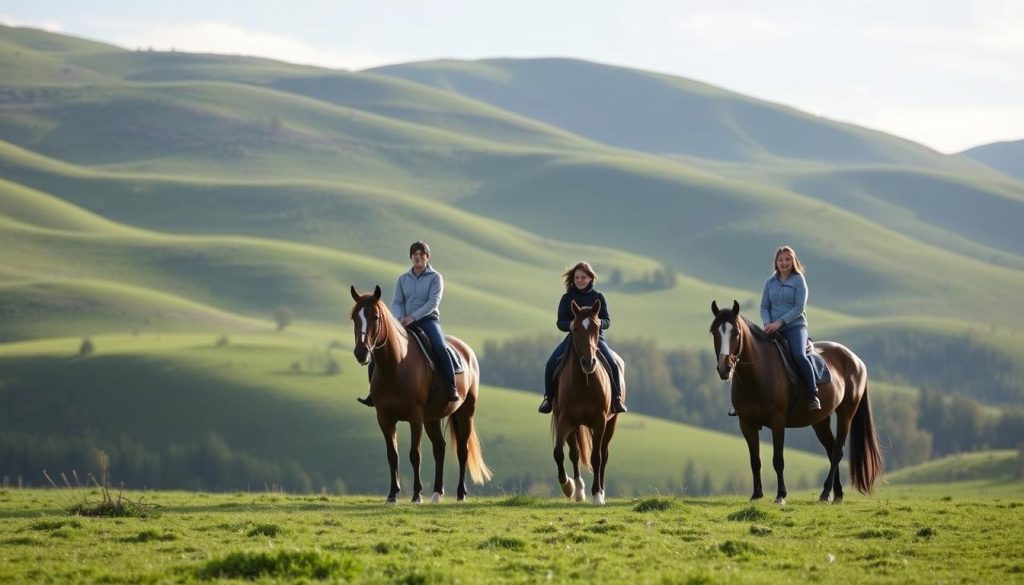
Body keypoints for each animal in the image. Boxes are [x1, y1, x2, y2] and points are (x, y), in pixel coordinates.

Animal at [350, 284, 489, 504]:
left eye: (376, 317)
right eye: (354, 317)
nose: (361, 352)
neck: (396, 366)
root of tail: (467, 351)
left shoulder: (415, 417)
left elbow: (414, 454)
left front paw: (416, 495)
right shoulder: (384, 418)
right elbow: (392, 455)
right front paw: (392, 494)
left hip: (465, 413)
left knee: (462, 450)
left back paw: (460, 494)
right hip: (432, 418)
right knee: (439, 448)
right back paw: (437, 493)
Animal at [552, 299, 622, 506]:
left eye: (597, 327)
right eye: (574, 328)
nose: (588, 363)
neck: (584, 383)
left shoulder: (600, 421)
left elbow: (596, 458)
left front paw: (597, 495)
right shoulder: (565, 420)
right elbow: (559, 453)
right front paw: (568, 487)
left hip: (610, 423)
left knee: (603, 455)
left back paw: (601, 491)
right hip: (575, 425)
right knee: (574, 454)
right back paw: (578, 491)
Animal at [712, 301, 880, 504]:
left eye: (736, 333)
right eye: (714, 332)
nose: (724, 368)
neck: (757, 374)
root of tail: (857, 361)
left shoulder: (777, 422)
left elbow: (778, 460)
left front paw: (780, 495)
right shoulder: (746, 424)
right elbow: (755, 461)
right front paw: (756, 495)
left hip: (846, 414)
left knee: (837, 451)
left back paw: (825, 493)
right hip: (820, 421)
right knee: (831, 449)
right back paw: (837, 494)